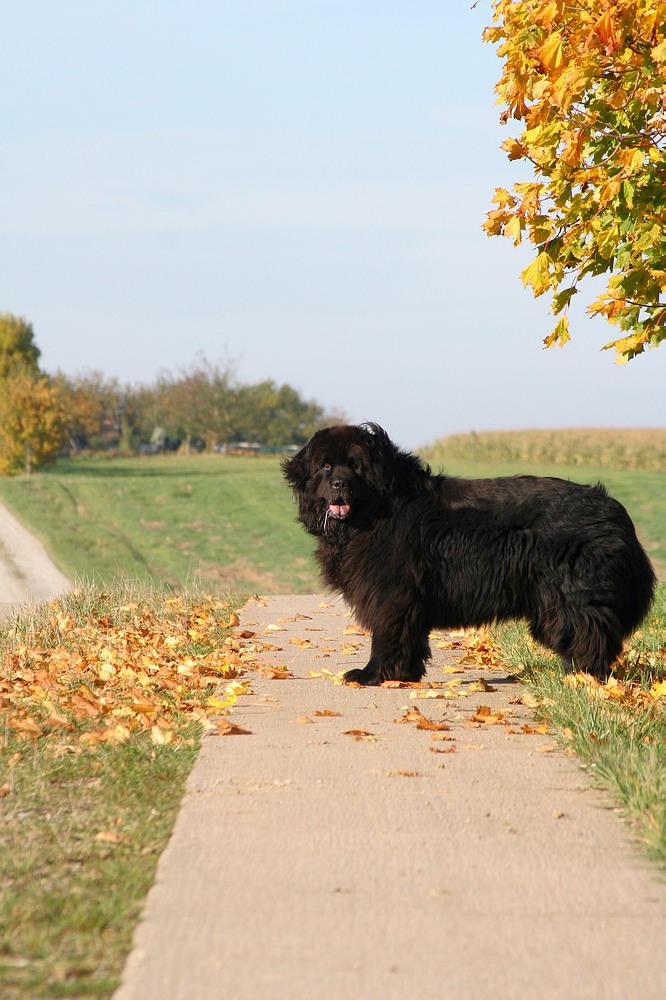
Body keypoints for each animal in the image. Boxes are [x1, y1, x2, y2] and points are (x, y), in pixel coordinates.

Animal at [280, 422, 652, 688]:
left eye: (356, 467)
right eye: (326, 467)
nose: (340, 484)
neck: (376, 510)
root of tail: (614, 508)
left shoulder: (391, 591)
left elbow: (386, 632)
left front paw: (373, 674)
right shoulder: (410, 596)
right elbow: (409, 635)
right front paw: (405, 674)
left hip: (570, 594)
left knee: (590, 629)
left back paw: (583, 676)